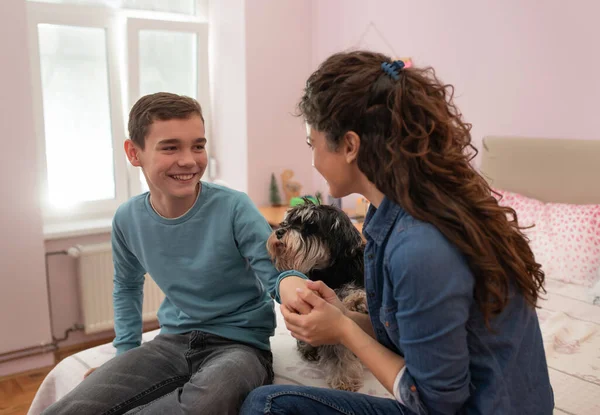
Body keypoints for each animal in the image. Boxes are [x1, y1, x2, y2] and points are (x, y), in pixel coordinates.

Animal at [268, 202, 370, 394]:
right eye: (288, 222)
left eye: (310, 227)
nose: (279, 231)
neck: (331, 271)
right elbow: (337, 351)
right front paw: (344, 379)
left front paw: (358, 300)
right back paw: (308, 349)